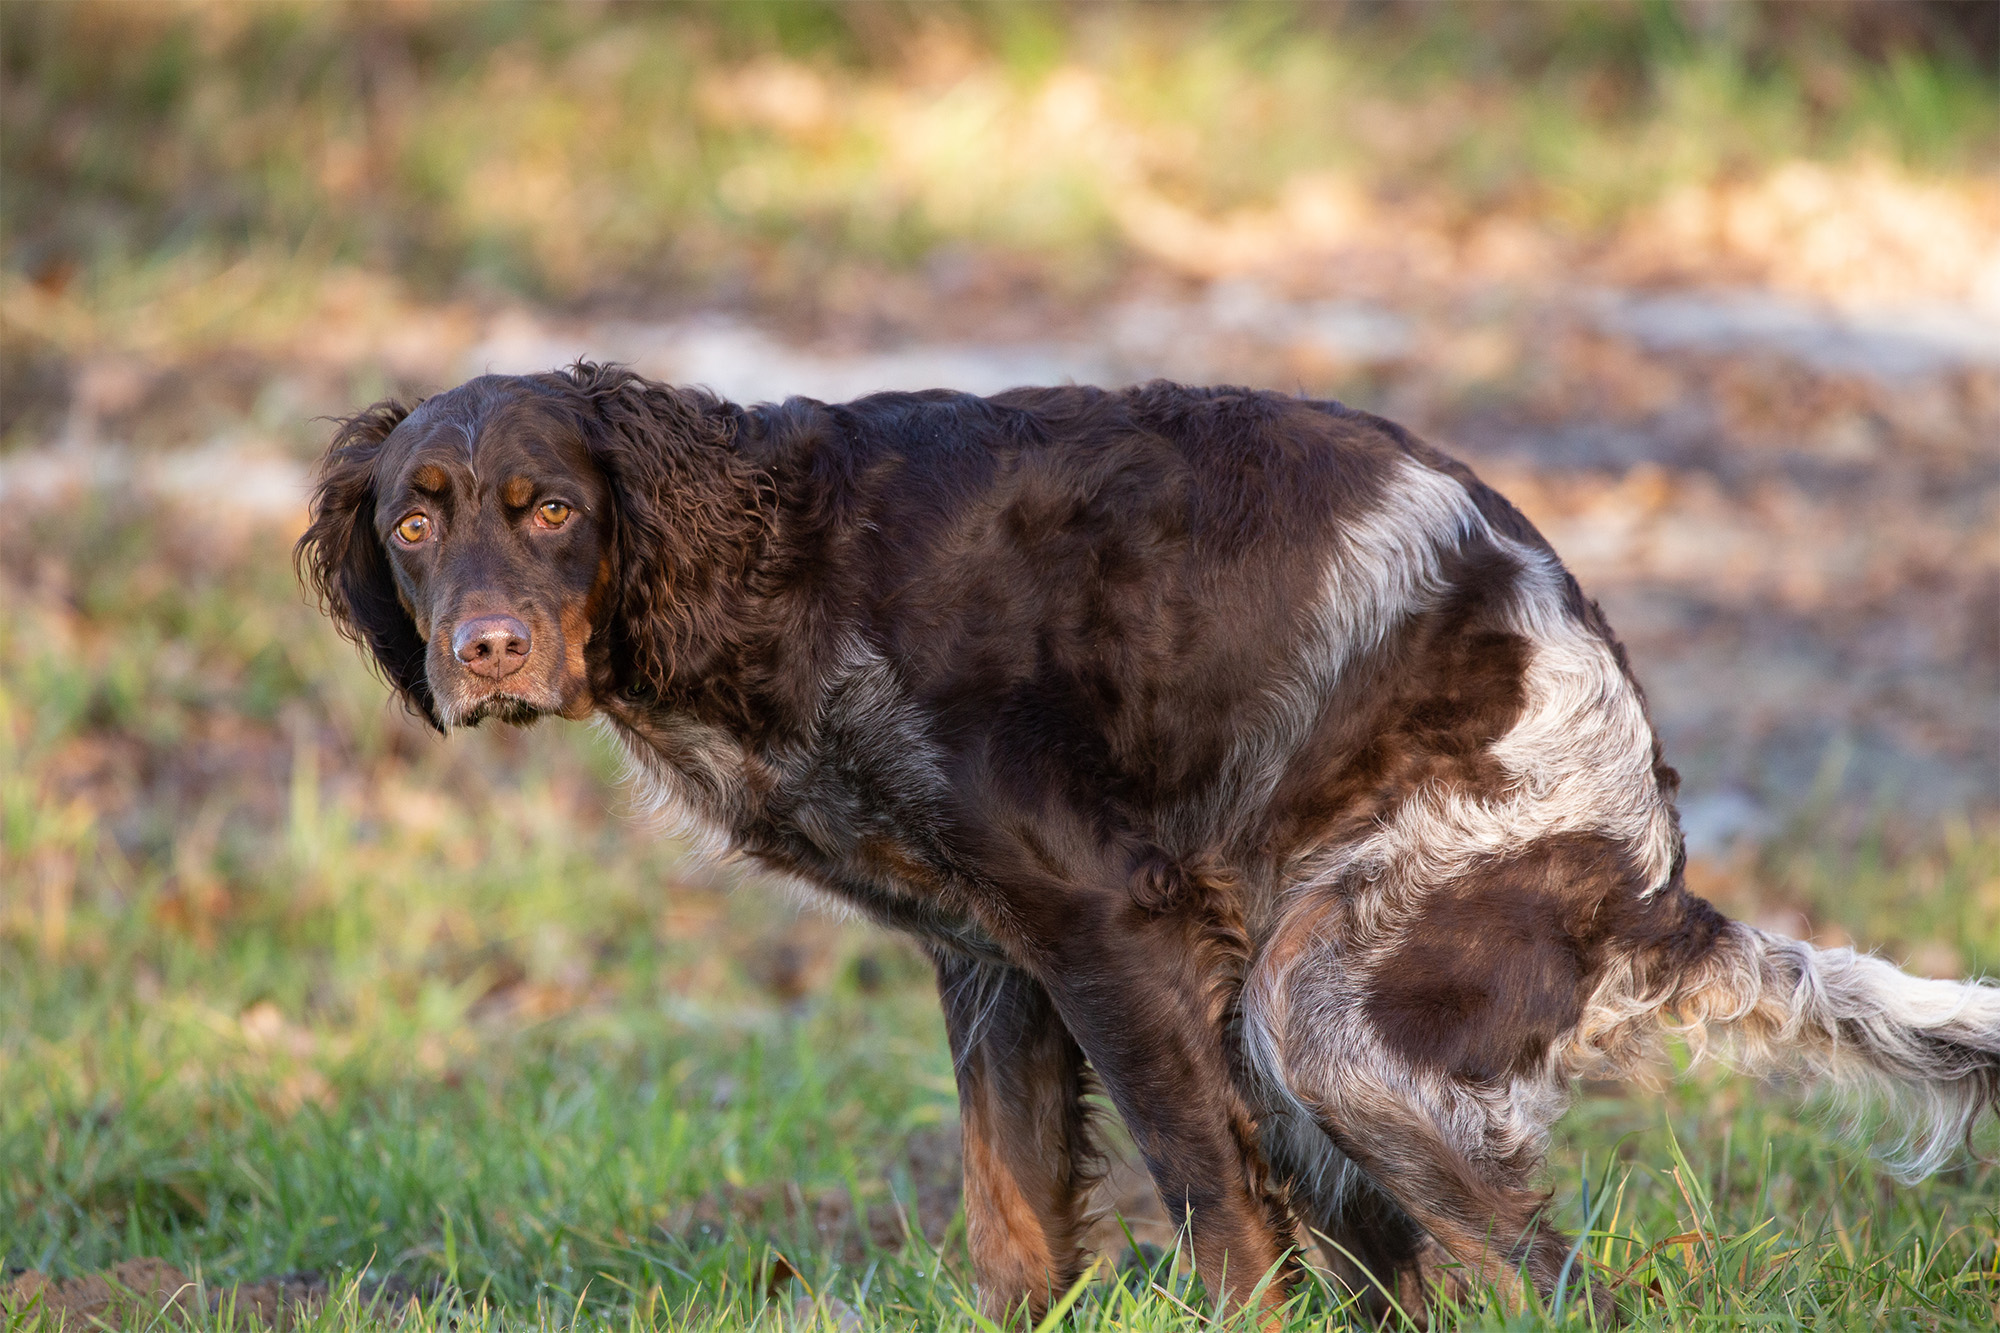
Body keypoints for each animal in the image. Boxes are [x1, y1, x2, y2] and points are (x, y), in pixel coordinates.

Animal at [296, 360, 2000, 1320]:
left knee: (1542, 1276)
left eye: (551, 506)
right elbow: (1015, 1232)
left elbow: (1218, 1226)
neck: (782, 570)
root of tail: (1651, 879)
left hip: (1320, 1012)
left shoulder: (1109, 928)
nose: (486, 653)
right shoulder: (992, 963)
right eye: (415, 522)